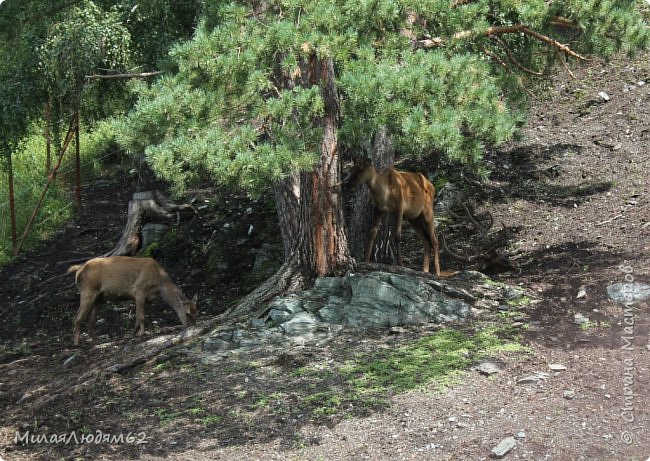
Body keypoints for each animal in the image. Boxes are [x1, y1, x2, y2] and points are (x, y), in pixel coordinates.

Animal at [67, 255, 197, 344]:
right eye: (187, 313)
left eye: (196, 312)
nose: (192, 326)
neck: (160, 284)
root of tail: (78, 271)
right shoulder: (139, 290)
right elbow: (141, 316)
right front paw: (141, 334)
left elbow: (139, 316)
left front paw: (134, 333)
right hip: (88, 291)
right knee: (77, 318)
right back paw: (77, 343)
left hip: (100, 298)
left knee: (90, 320)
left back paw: (96, 340)